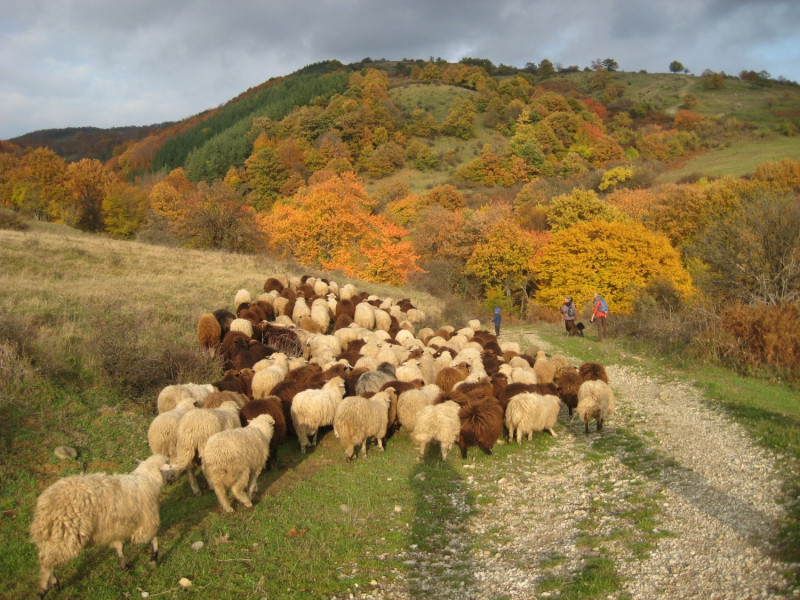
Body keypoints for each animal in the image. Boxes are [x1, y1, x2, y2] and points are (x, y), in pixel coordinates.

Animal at [30, 454, 173, 596]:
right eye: (168, 465)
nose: (172, 478)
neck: (148, 480)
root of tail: (45, 506)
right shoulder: (147, 521)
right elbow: (154, 538)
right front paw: (154, 559)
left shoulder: (115, 526)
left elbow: (119, 546)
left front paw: (123, 565)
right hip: (65, 535)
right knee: (46, 564)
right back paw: (43, 589)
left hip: (53, 536)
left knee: (47, 559)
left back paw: (54, 583)